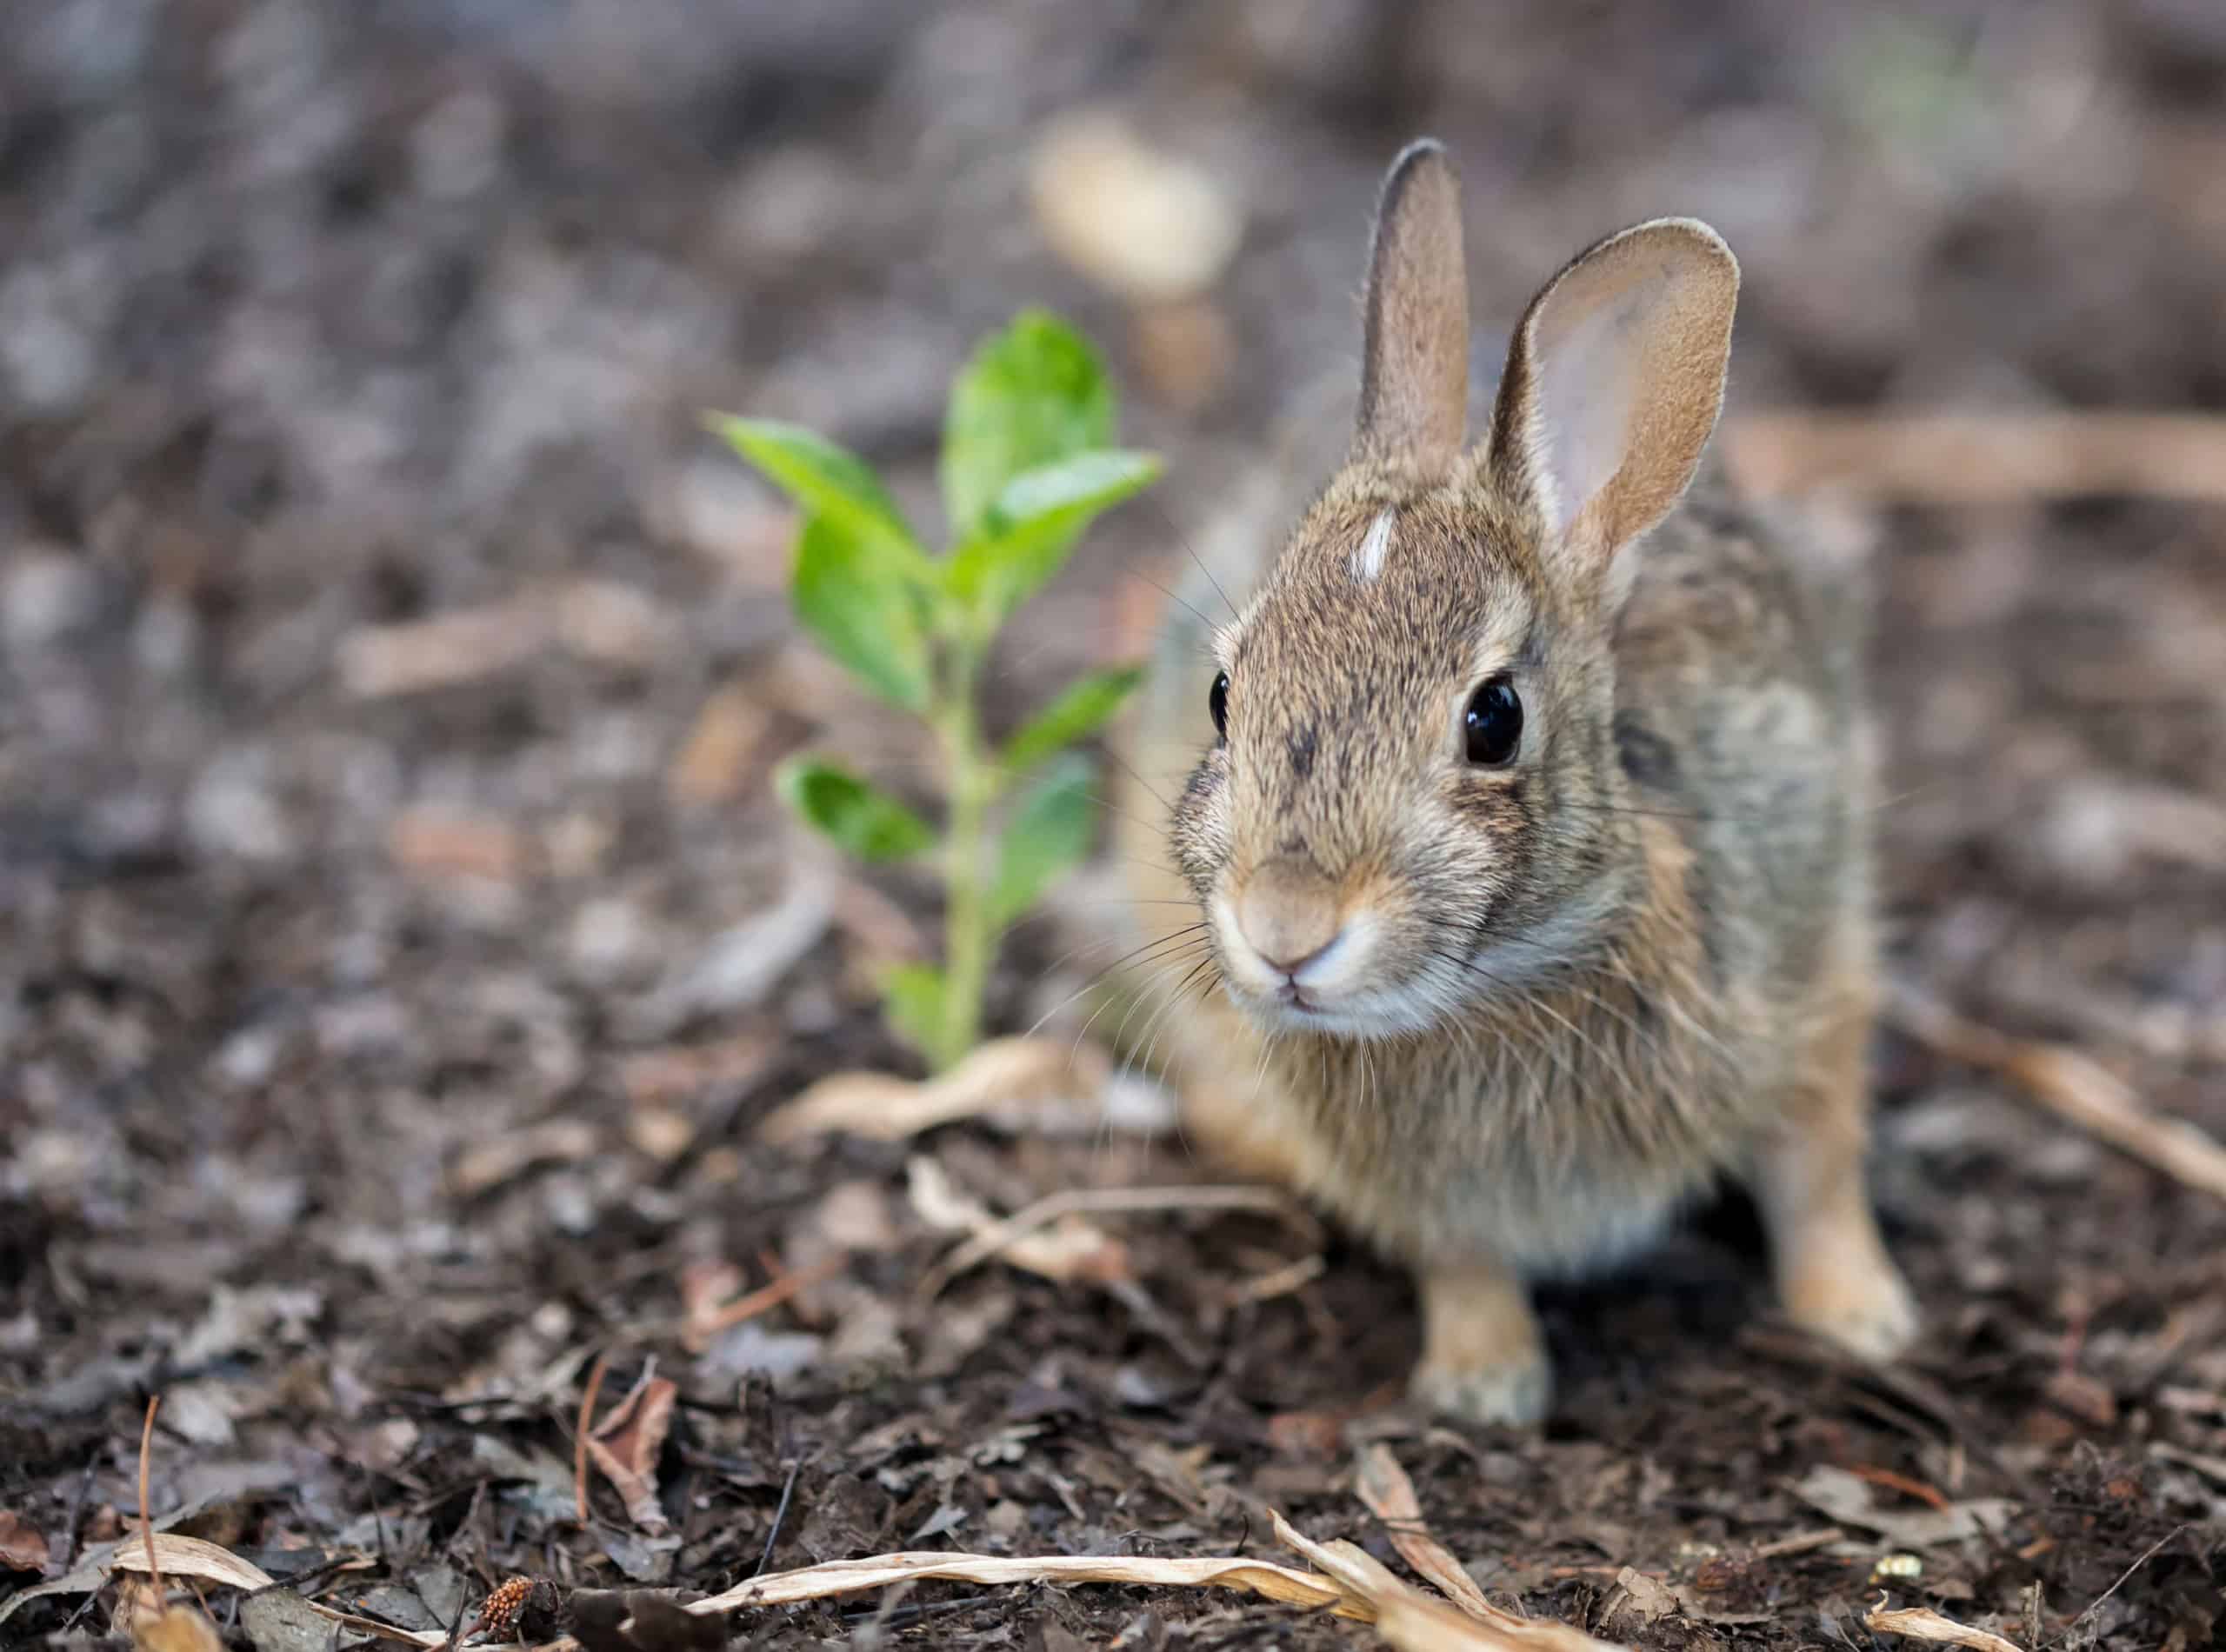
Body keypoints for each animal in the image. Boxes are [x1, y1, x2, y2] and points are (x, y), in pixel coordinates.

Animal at [1109, 139, 1918, 1425]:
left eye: (1494, 720)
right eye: (1224, 695)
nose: (1285, 933)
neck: (1507, 981)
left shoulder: (1813, 972)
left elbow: (1816, 1165)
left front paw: (1862, 1318)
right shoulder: (1422, 1191)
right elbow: (1460, 1258)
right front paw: (1482, 1384)